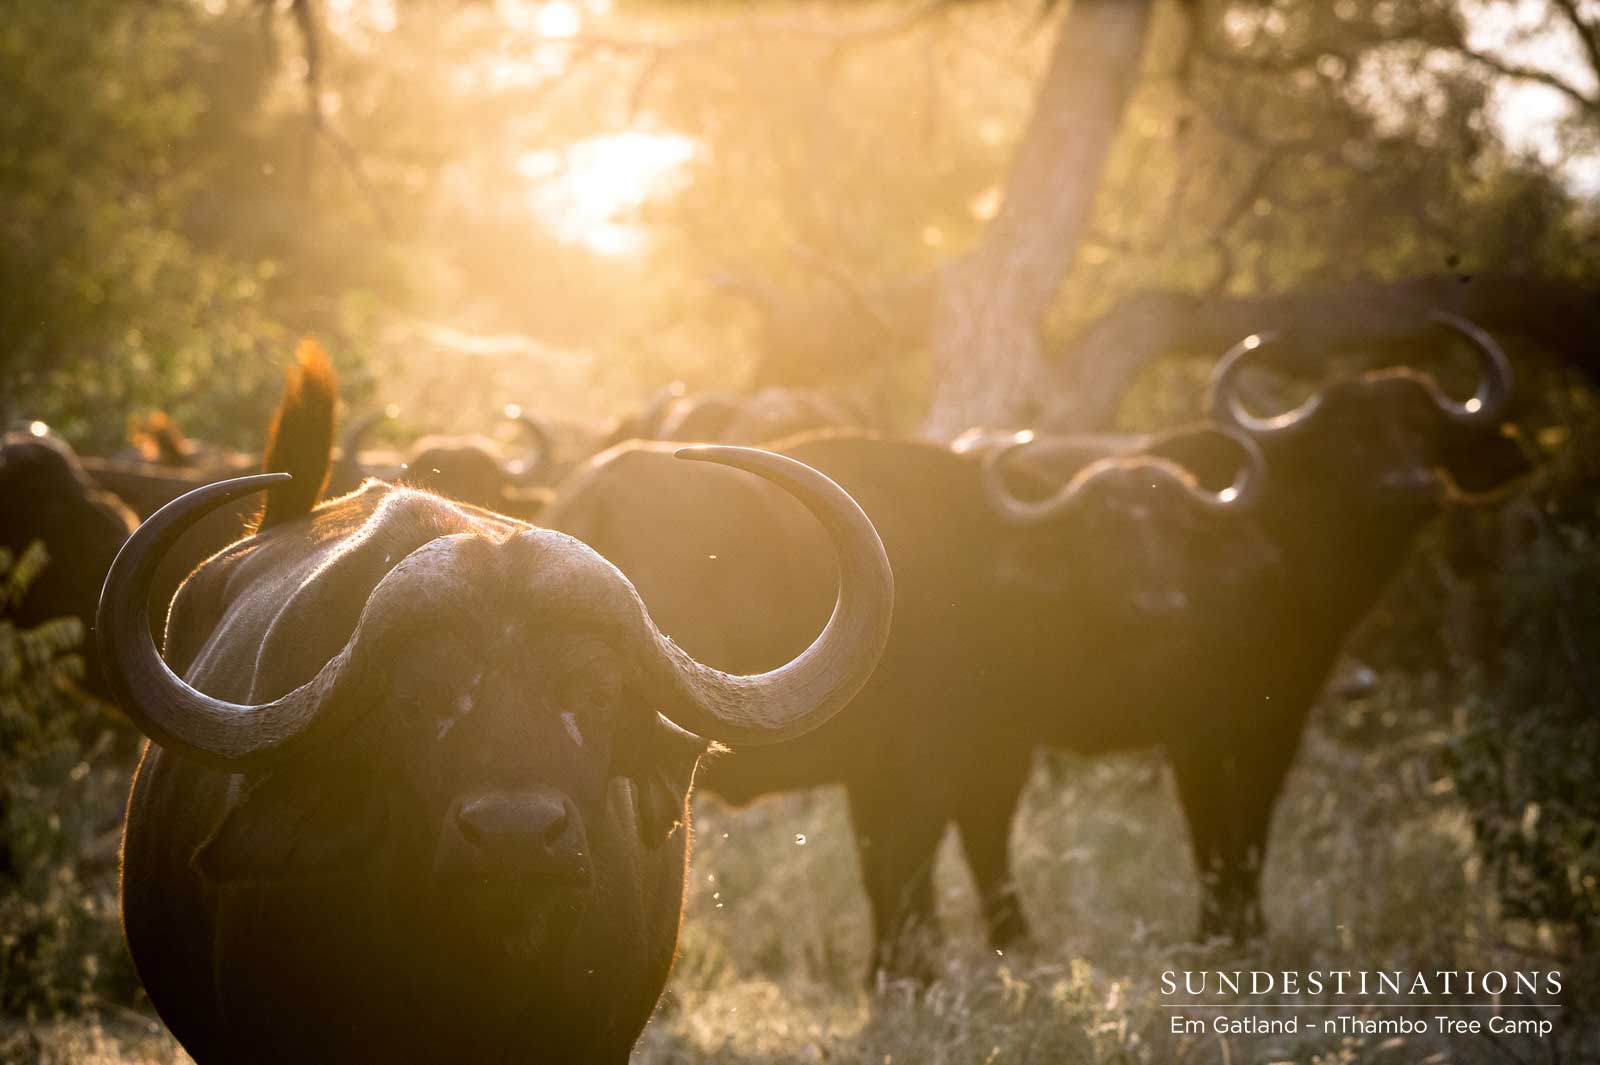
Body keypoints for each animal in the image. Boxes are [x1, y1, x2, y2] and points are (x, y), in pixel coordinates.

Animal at [544, 425, 1269, 977]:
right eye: (1100, 532)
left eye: (1175, 530)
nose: (1162, 607)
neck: (983, 567)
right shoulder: (944, 760)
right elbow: (926, 854)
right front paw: (917, 971)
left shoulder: (902, 769)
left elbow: (900, 861)